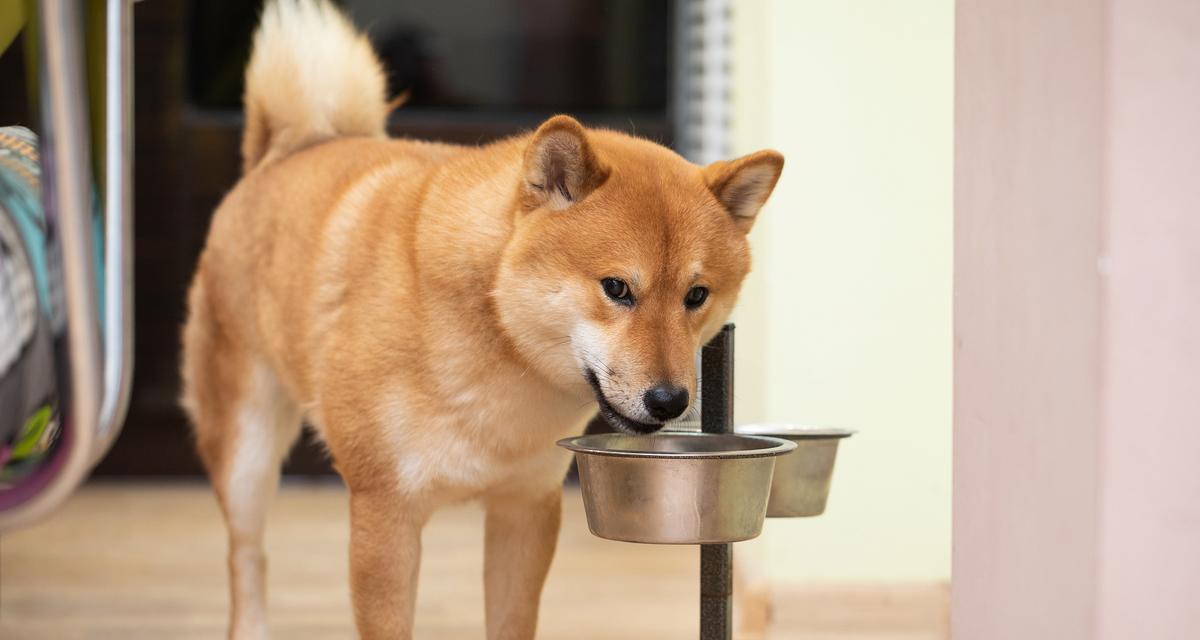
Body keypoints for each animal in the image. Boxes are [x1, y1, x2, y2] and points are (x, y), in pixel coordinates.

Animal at [175, 2, 777, 633]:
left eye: (696, 295)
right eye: (617, 288)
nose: (670, 401)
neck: (498, 347)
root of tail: (286, 151)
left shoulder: (524, 508)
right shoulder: (385, 516)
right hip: (246, 453)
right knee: (247, 558)